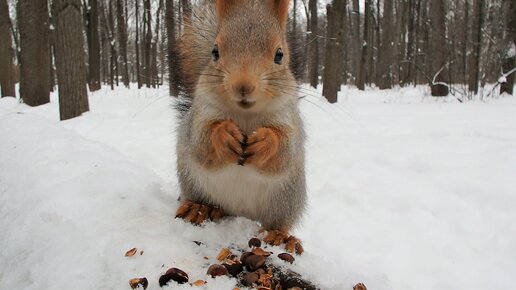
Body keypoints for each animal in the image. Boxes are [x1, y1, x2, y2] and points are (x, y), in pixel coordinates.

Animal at [176, 0, 306, 254]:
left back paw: (280, 236)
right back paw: (200, 208)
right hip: (191, 179)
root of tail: (240, 213)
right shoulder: (200, 115)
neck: (245, 116)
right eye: (215, 52)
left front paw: (265, 142)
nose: (243, 85)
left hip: (287, 199)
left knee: (279, 222)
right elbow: (201, 143)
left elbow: (285, 151)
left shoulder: (290, 121)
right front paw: (224, 135)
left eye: (280, 55)